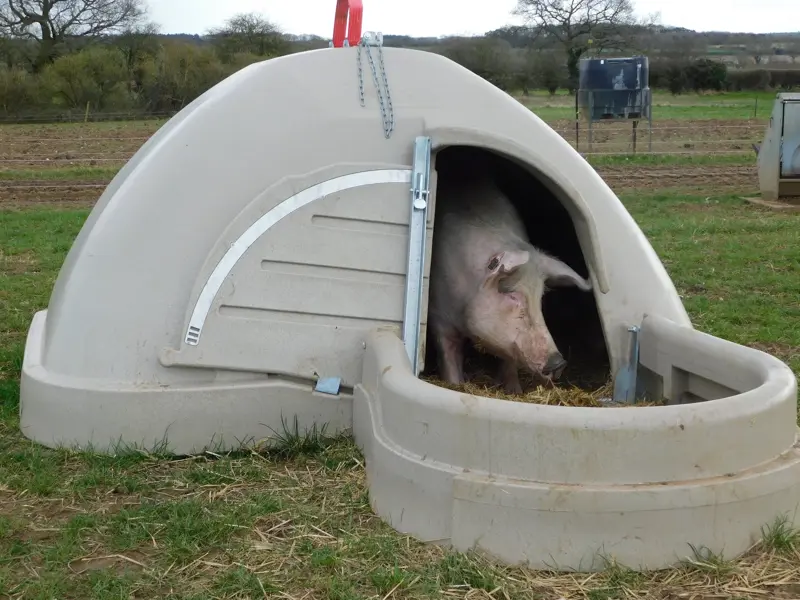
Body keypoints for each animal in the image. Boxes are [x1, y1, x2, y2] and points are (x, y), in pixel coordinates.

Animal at [427, 173, 593, 394]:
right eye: (511, 294)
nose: (559, 363)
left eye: (540, 297)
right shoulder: (439, 319)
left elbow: (509, 364)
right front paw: (455, 384)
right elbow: (449, 361)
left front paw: (515, 392)